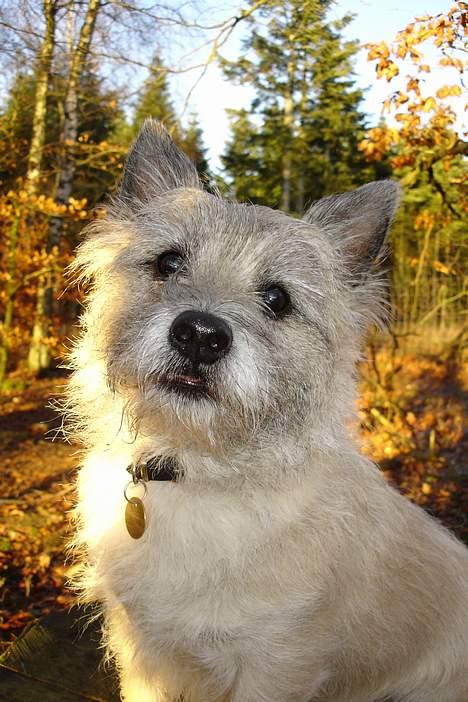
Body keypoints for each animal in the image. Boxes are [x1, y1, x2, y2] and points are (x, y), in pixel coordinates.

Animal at [68, 118, 468, 700]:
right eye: (168, 262)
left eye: (278, 299)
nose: (200, 335)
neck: (196, 474)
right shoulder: (141, 649)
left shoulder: (278, 664)